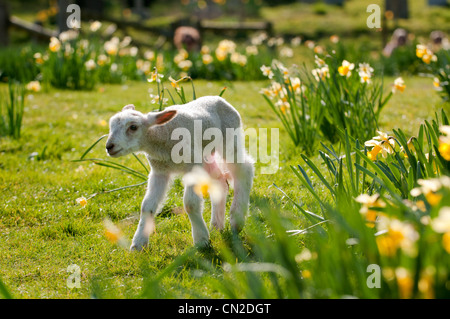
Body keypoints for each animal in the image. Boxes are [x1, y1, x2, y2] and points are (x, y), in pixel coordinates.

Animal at [104, 96, 253, 251]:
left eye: (133, 127)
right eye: (111, 126)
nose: (109, 147)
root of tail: (218, 98)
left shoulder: (192, 165)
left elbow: (190, 204)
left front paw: (201, 240)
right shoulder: (159, 171)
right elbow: (147, 206)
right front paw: (138, 244)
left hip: (230, 140)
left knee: (245, 169)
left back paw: (236, 220)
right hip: (205, 155)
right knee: (220, 181)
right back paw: (216, 226)